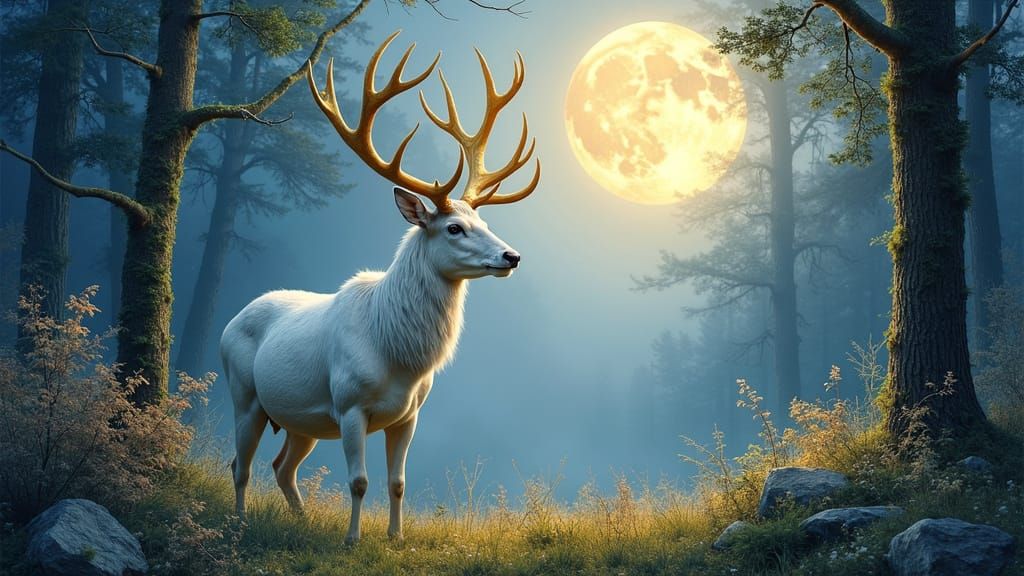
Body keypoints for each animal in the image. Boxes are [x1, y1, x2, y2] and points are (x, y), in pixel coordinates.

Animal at [219, 31, 540, 544]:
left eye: (484, 222)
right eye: (453, 228)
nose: (512, 256)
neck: (399, 354)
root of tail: (231, 320)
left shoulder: (410, 413)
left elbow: (397, 482)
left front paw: (395, 537)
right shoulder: (350, 404)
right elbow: (359, 481)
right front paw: (352, 540)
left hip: (300, 422)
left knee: (282, 467)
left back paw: (301, 521)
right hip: (244, 394)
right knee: (240, 465)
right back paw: (240, 522)